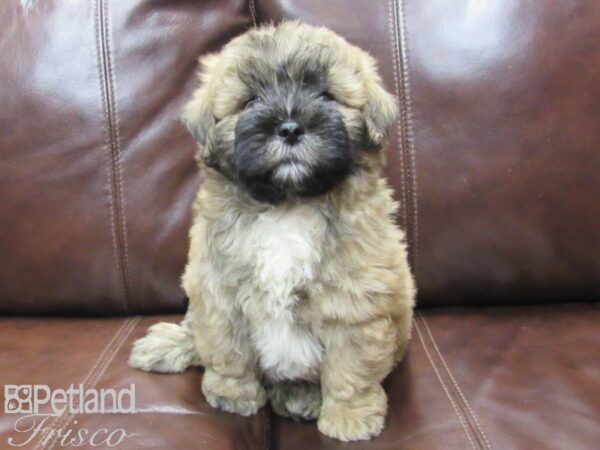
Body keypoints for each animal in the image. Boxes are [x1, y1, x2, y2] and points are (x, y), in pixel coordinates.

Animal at [129, 22, 414, 442]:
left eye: (326, 96)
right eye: (251, 101)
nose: (291, 127)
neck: (288, 205)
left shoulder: (355, 299)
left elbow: (352, 363)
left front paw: (350, 416)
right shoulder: (217, 288)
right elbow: (226, 347)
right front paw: (233, 394)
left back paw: (300, 396)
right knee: (197, 333)